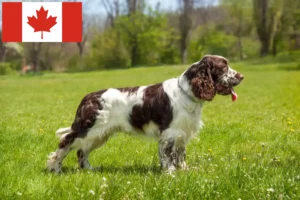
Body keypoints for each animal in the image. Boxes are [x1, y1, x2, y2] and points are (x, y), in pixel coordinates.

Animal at [47, 55, 244, 173]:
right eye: (224, 66)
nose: (241, 76)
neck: (186, 92)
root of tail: (88, 98)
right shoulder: (170, 133)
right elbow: (168, 156)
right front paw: (170, 174)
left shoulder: (182, 133)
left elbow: (180, 155)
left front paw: (184, 170)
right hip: (88, 128)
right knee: (65, 141)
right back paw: (55, 168)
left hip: (100, 134)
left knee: (82, 151)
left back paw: (89, 169)